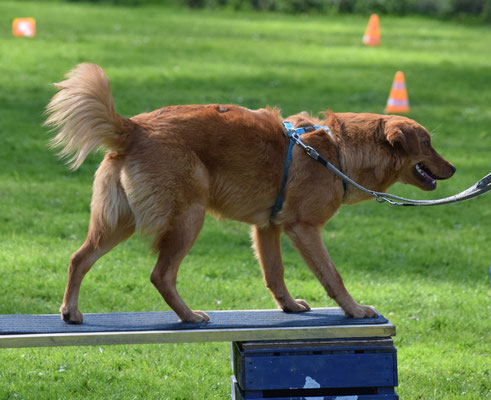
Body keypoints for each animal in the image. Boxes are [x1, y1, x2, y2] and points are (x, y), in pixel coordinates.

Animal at [44, 64, 456, 324]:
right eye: (428, 143)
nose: (453, 169)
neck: (336, 150)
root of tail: (133, 127)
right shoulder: (304, 228)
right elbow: (332, 276)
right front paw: (354, 310)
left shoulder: (268, 228)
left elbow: (275, 274)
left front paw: (288, 306)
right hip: (189, 217)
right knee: (161, 275)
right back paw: (189, 316)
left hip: (119, 222)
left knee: (79, 258)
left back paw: (71, 312)